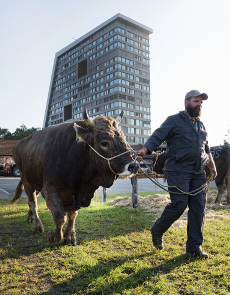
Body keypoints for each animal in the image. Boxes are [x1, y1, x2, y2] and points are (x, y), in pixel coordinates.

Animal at [8, 110, 138, 246]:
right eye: (104, 142)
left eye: (123, 137)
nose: (134, 165)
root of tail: (17, 145)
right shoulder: (50, 189)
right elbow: (60, 216)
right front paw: (54, 236)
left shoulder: (74, 193)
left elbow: (72, 214)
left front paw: (70, 236)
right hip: (26, 180)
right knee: (33, 202)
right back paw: (38, 225)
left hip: (36, 181)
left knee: (32, 201)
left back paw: (30, 218)